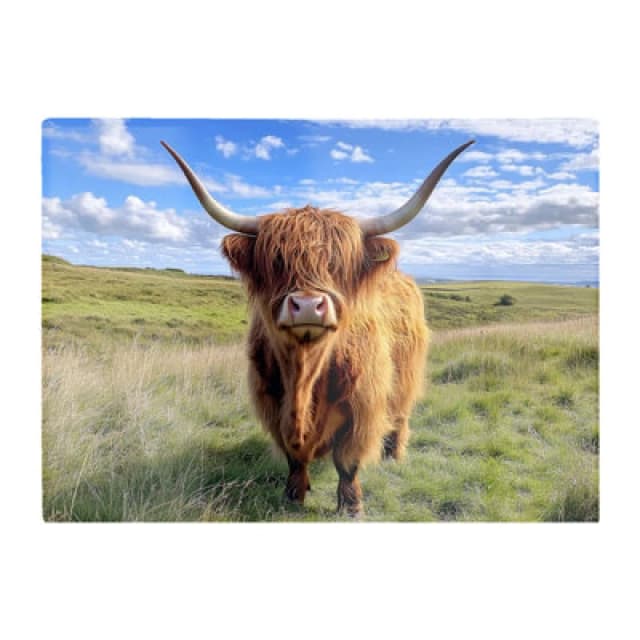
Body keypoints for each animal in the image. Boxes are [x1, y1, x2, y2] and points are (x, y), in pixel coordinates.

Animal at [162, 138, 474, 516]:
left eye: (337, 263)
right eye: (277, 260)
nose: (308, 305)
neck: (304, 372)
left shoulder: (362, 407)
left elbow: (347, 461)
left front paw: (352, 507)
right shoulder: (270, 401)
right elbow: (294, 456)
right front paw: (294, 494)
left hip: (407, 376)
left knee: (401, 414)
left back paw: (395, 455)